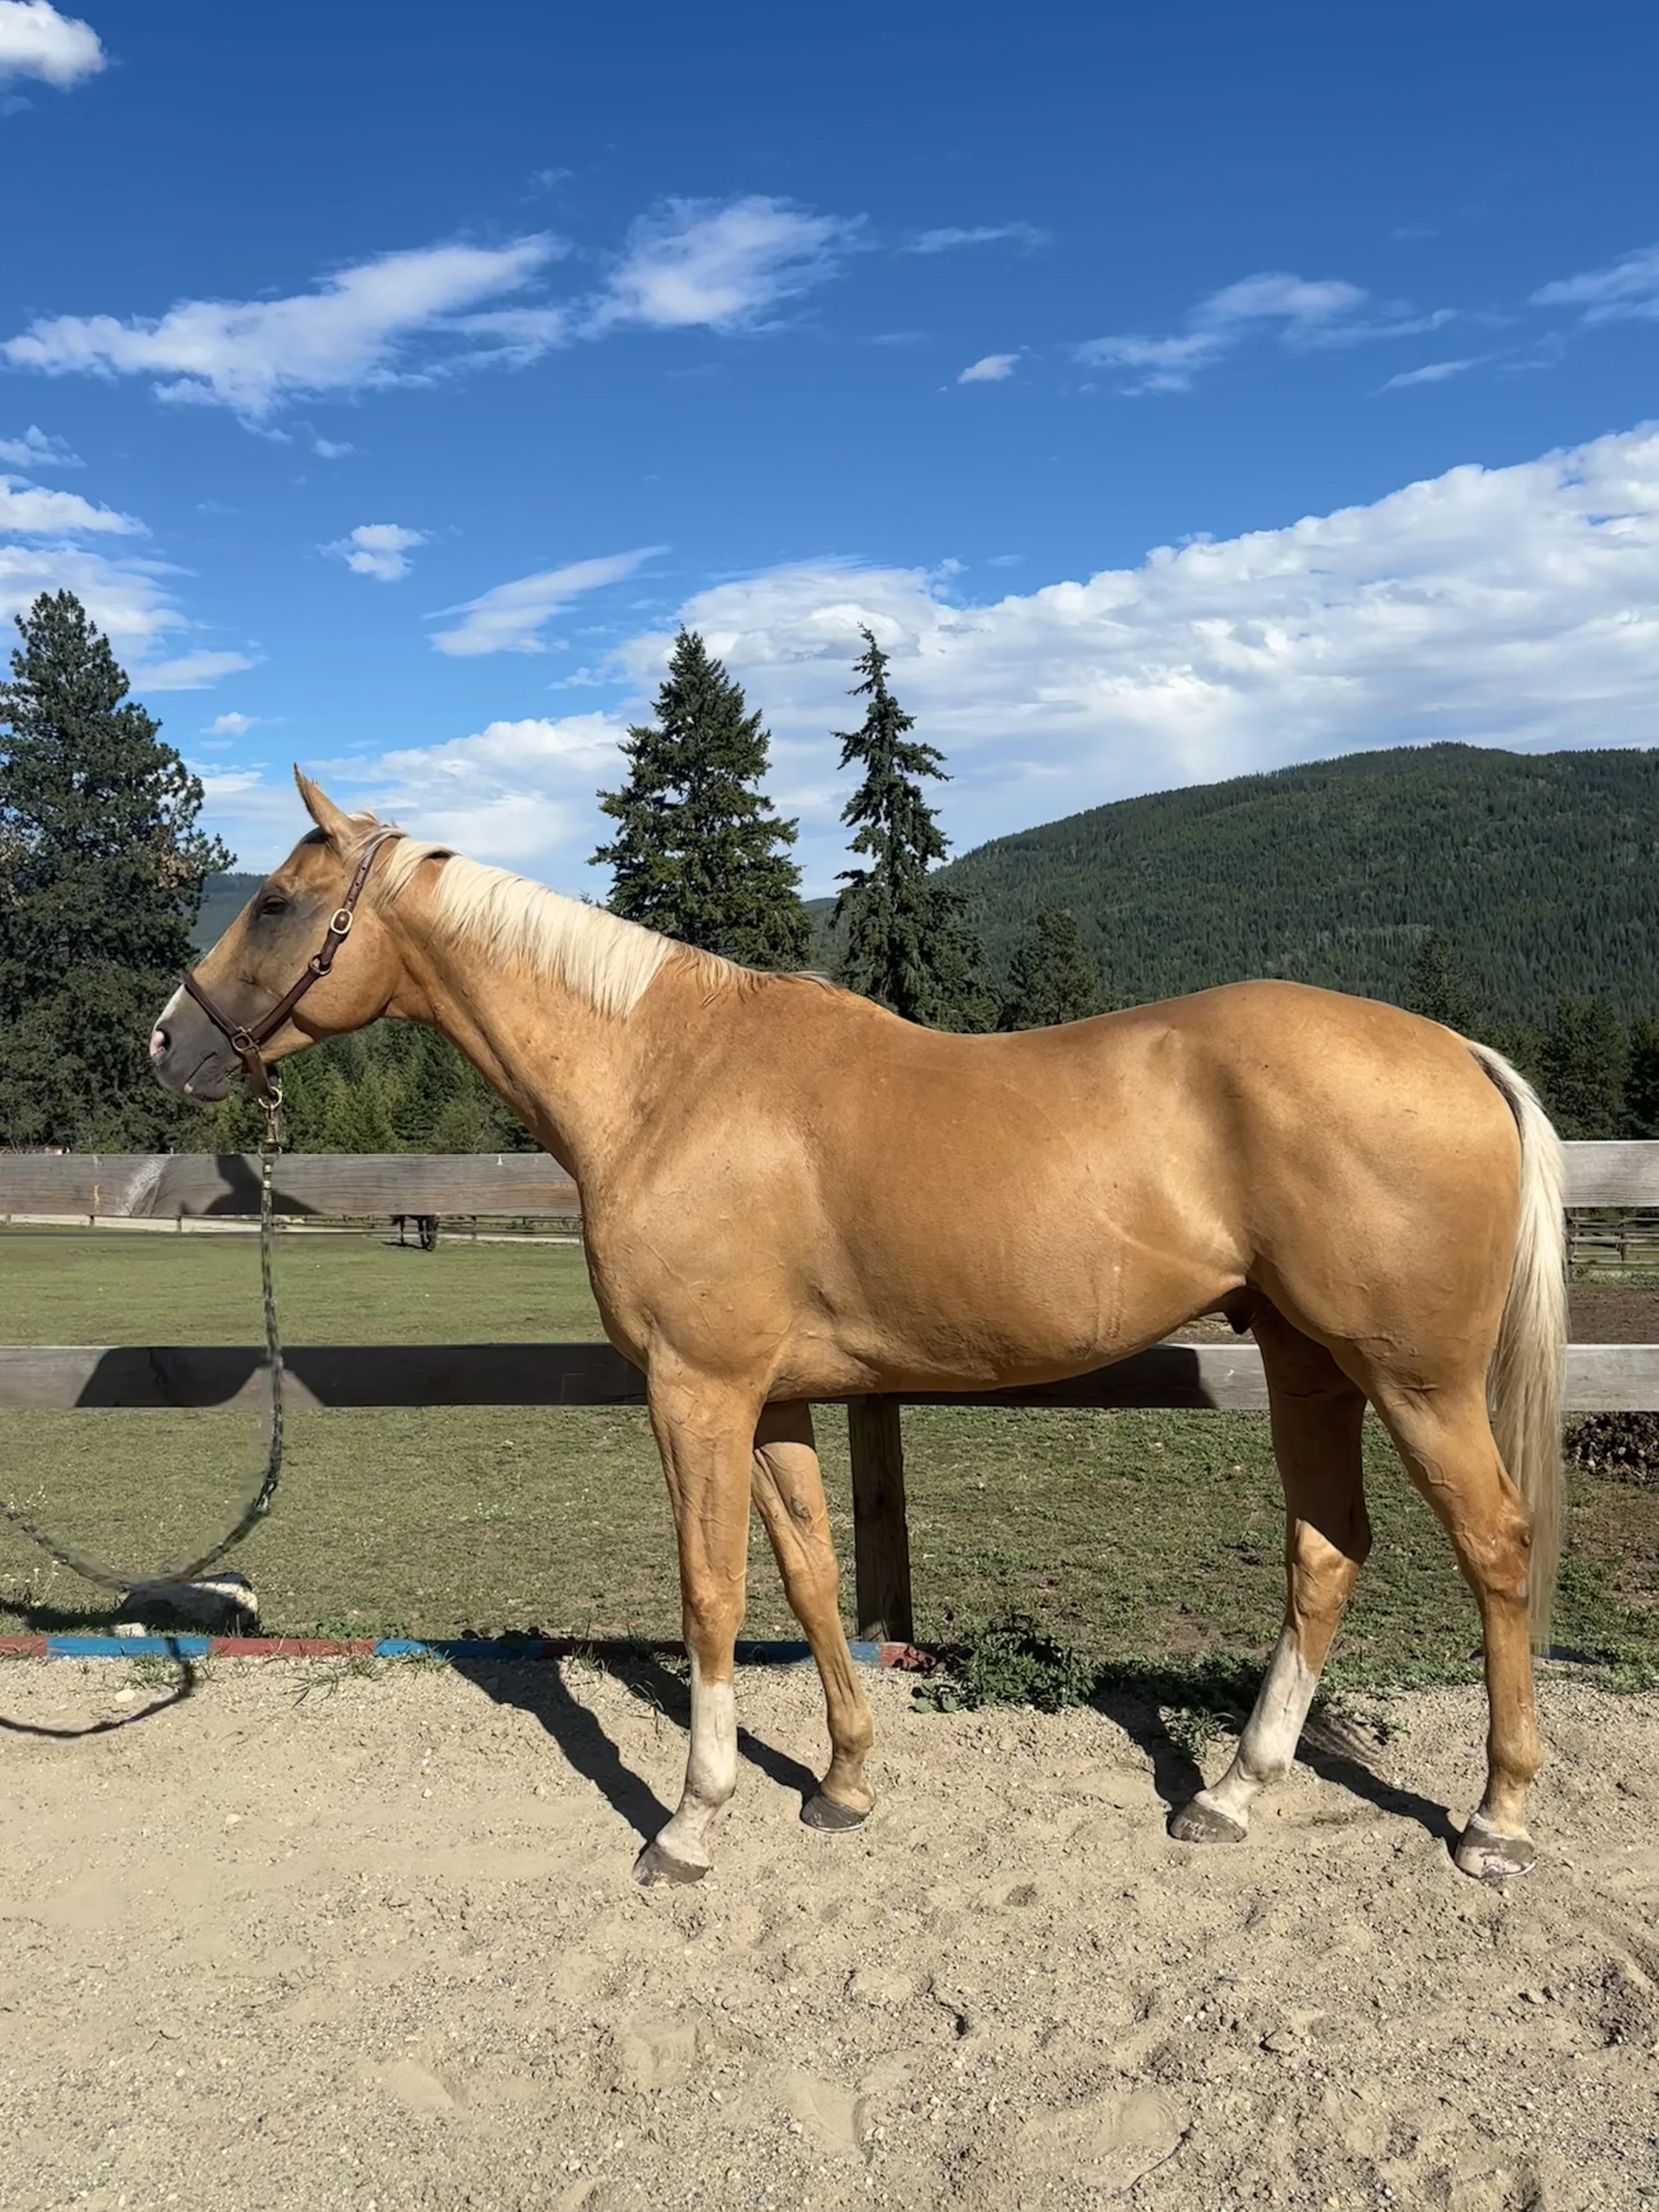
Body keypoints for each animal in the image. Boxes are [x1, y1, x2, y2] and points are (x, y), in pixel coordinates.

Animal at [151, 771, 1566, 1888]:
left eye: (275, 901)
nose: (167, 1042)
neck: (666, 1078)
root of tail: (1458, 1051)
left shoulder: (698, 1388)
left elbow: (712, 1592)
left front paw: (691, 1820)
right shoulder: (773, 1395)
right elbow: (812, 1576)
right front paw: (842, 1782)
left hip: (1417, 1380)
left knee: (1494, 1543)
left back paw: (1496, 1817)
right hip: (1305, 1360)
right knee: (1327, 1551)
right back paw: (1231, 1790)